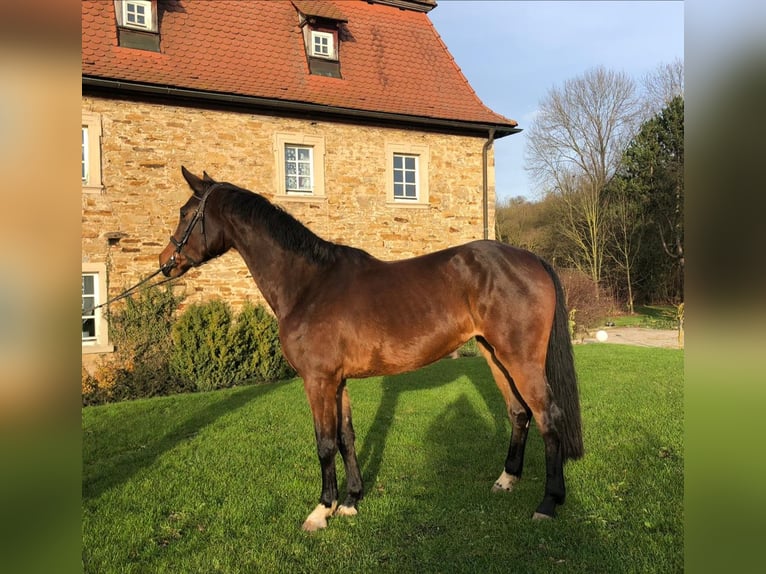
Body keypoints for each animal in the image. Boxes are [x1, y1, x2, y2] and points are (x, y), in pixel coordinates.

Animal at [159, 167, 583, 531]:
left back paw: (548, 503)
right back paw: (506, 480)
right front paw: (350, 501)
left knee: (547, 416)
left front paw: (321, 510)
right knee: (519, 413)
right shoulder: (338, 382)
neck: (308, 284)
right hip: (494, 356)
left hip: (521, 359)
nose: (165, 263)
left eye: (185, 213)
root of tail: (532, 258)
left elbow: (325, 443)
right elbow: (346, 437)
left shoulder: (317, 381)